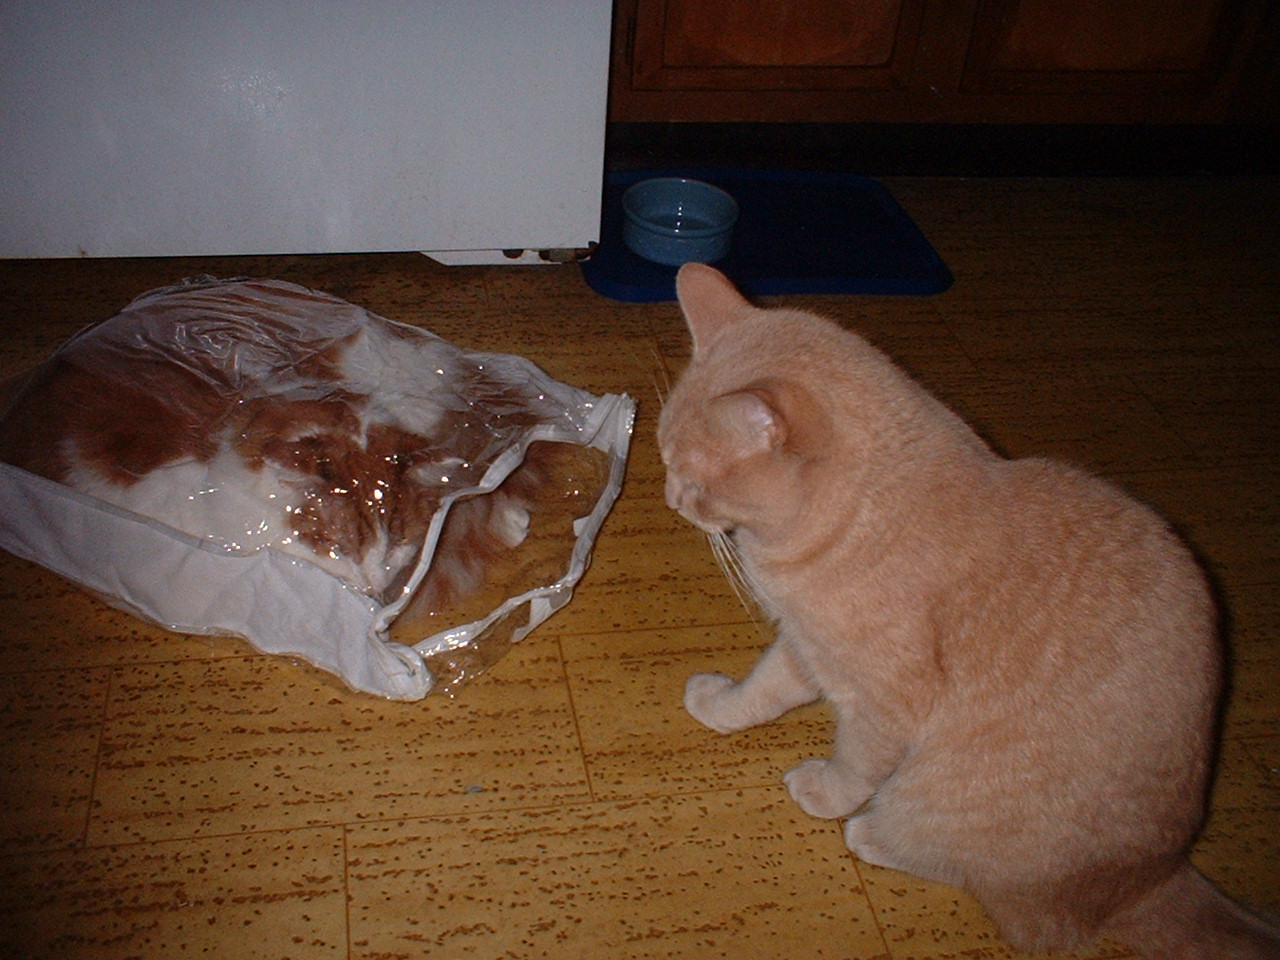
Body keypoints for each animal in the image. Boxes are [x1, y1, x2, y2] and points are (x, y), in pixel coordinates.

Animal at [658, 263, 1280, 959]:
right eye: (663, 459)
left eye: (692, 480)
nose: (669, 496)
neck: (858, 520)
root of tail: (1156, 877)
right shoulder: (808, 645)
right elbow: (761, 690)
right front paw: (719, 706)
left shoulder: (884, 700)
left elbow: (854, 763)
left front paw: (824, 793)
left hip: (941, 795)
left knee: (979, 876)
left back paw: (871, 833)